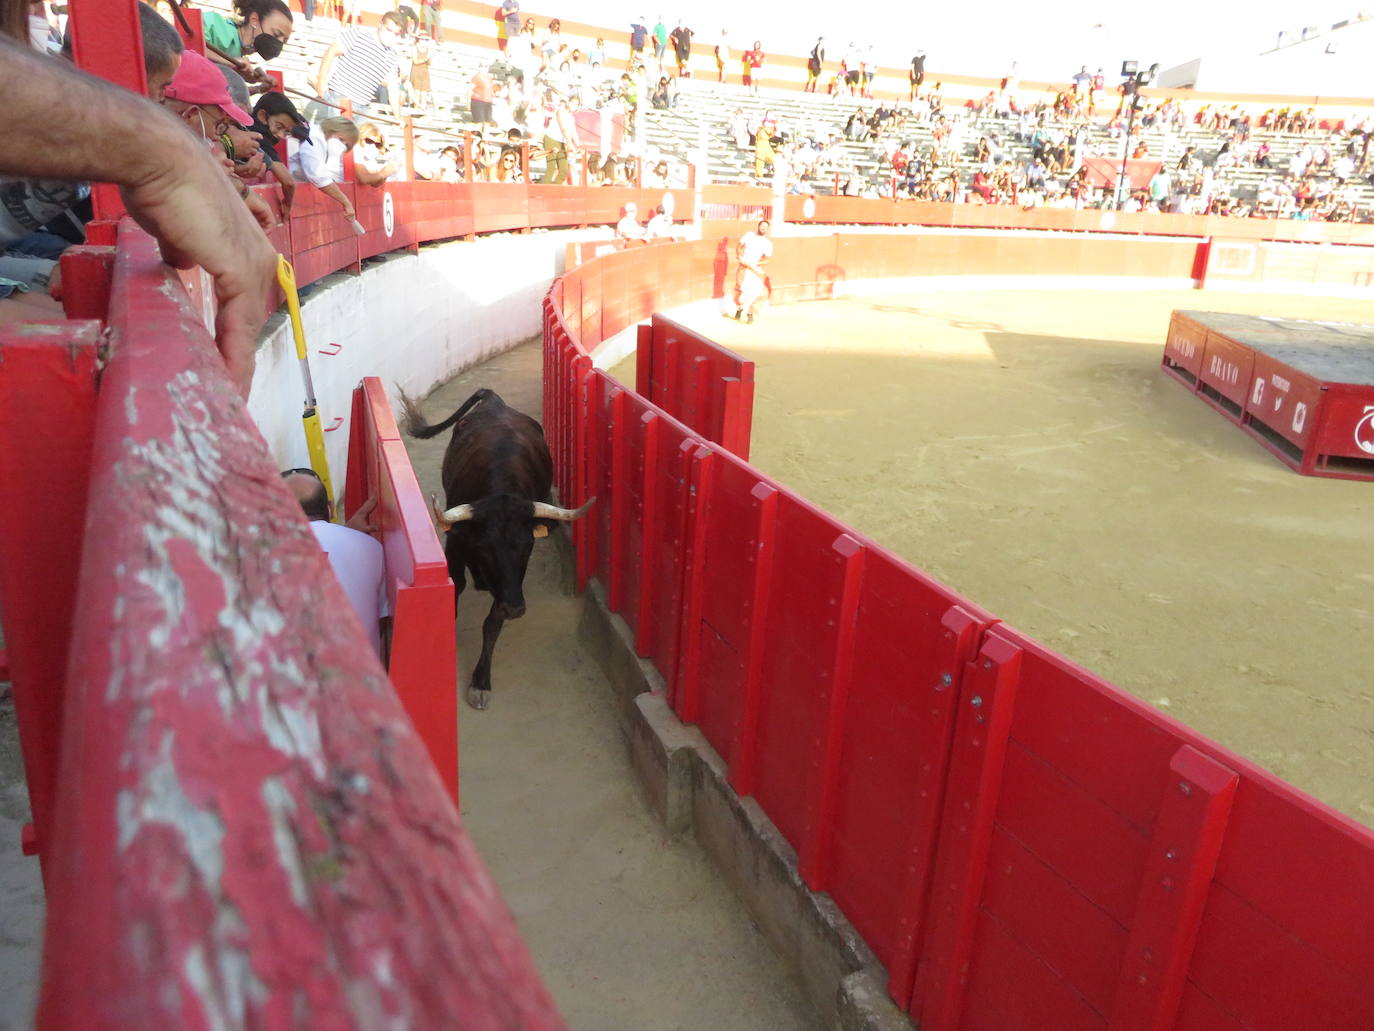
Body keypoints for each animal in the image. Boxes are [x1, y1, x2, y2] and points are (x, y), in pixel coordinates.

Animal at [398, 387, 590, 709]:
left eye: (527, 545)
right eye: (484, 547)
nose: (515, 608)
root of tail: (495, 400)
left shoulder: (513, 578)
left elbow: (492, 623)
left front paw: (480, 681)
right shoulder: (456, 544)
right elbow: (456, 588)